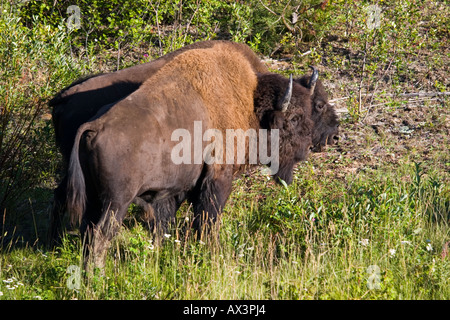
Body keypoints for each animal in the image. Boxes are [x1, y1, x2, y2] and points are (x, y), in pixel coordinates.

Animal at [64, 43, 338, 268]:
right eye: (295, 118)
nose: (306, 148)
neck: (251, 104)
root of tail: (95, 126)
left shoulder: (171, 192)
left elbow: (164, 226)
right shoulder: (217, 179)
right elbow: (207, 220)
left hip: (93, 198)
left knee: (87, 233)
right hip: (116, 202)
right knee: (101, 235)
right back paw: (97, 276)